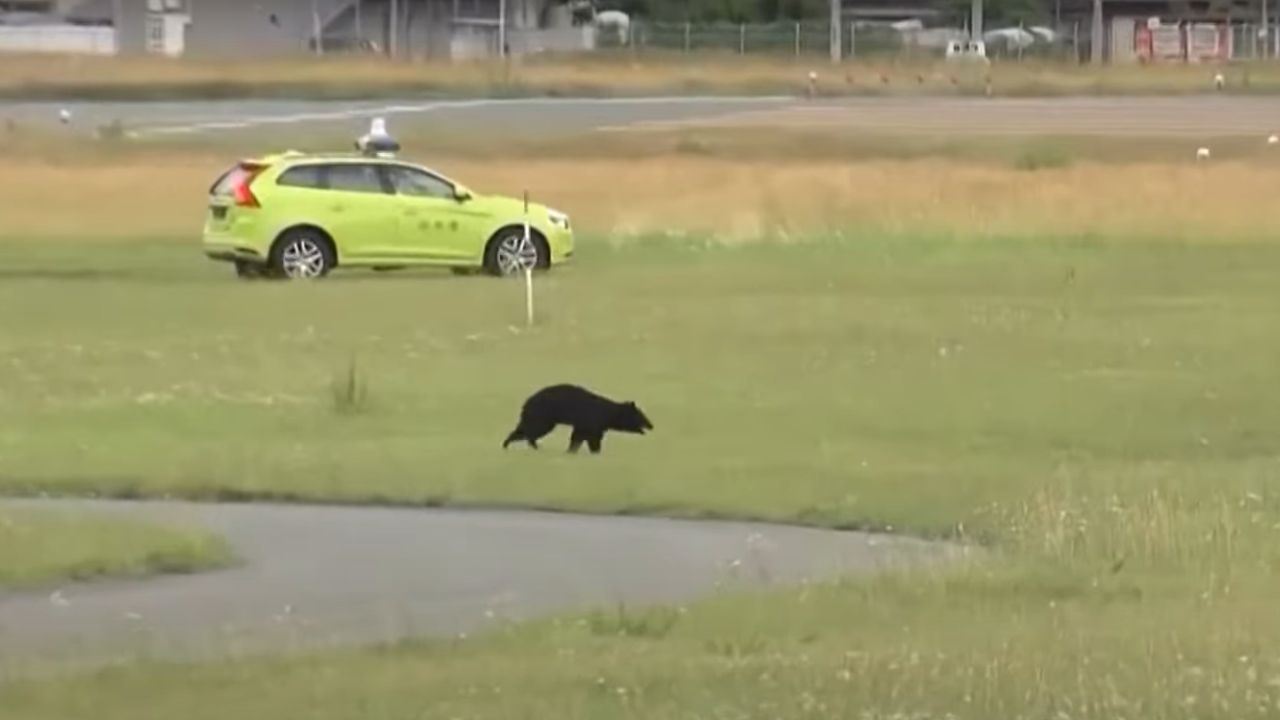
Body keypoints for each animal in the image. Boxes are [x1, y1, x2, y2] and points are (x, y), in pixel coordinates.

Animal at [502, 383, 654, 454]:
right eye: (641, 416)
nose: (651, 425)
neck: (608, 415)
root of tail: (527, 402)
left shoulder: (587, 424)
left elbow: (579, 436)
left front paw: (572, 451)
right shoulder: (590, 421)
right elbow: (590, 437)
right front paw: (594, 451)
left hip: (537, 416)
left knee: (523, 428)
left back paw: (507, 444)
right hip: (543, 415)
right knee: (533, 430)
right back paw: (533, 446)